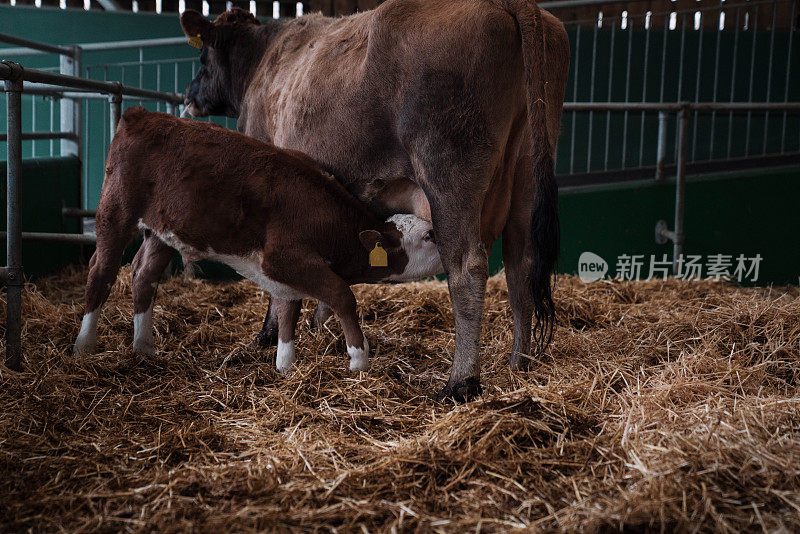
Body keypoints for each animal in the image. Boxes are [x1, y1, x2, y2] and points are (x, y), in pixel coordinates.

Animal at [72, 108, 440, 372]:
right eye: (428, 235)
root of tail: (140, 114)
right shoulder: (282, 257)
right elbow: (341, 295)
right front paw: (359, 359)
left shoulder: (284, 270)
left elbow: (288, 307)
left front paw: (285, 365)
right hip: (115, 211)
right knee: (101, 271)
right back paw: (84, 345)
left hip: (161, 231)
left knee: (143, 275)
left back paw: (144, 346)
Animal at [179, 0, 572, 402]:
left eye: (202, 58)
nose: (189, 94)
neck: (264, 57)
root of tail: (507, 4)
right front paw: (322, 331)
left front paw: (270, 335)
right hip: (527, 175)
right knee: (520, 266)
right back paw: (519, 364)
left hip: (448, 174)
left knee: (467, 269)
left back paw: (461, 382)